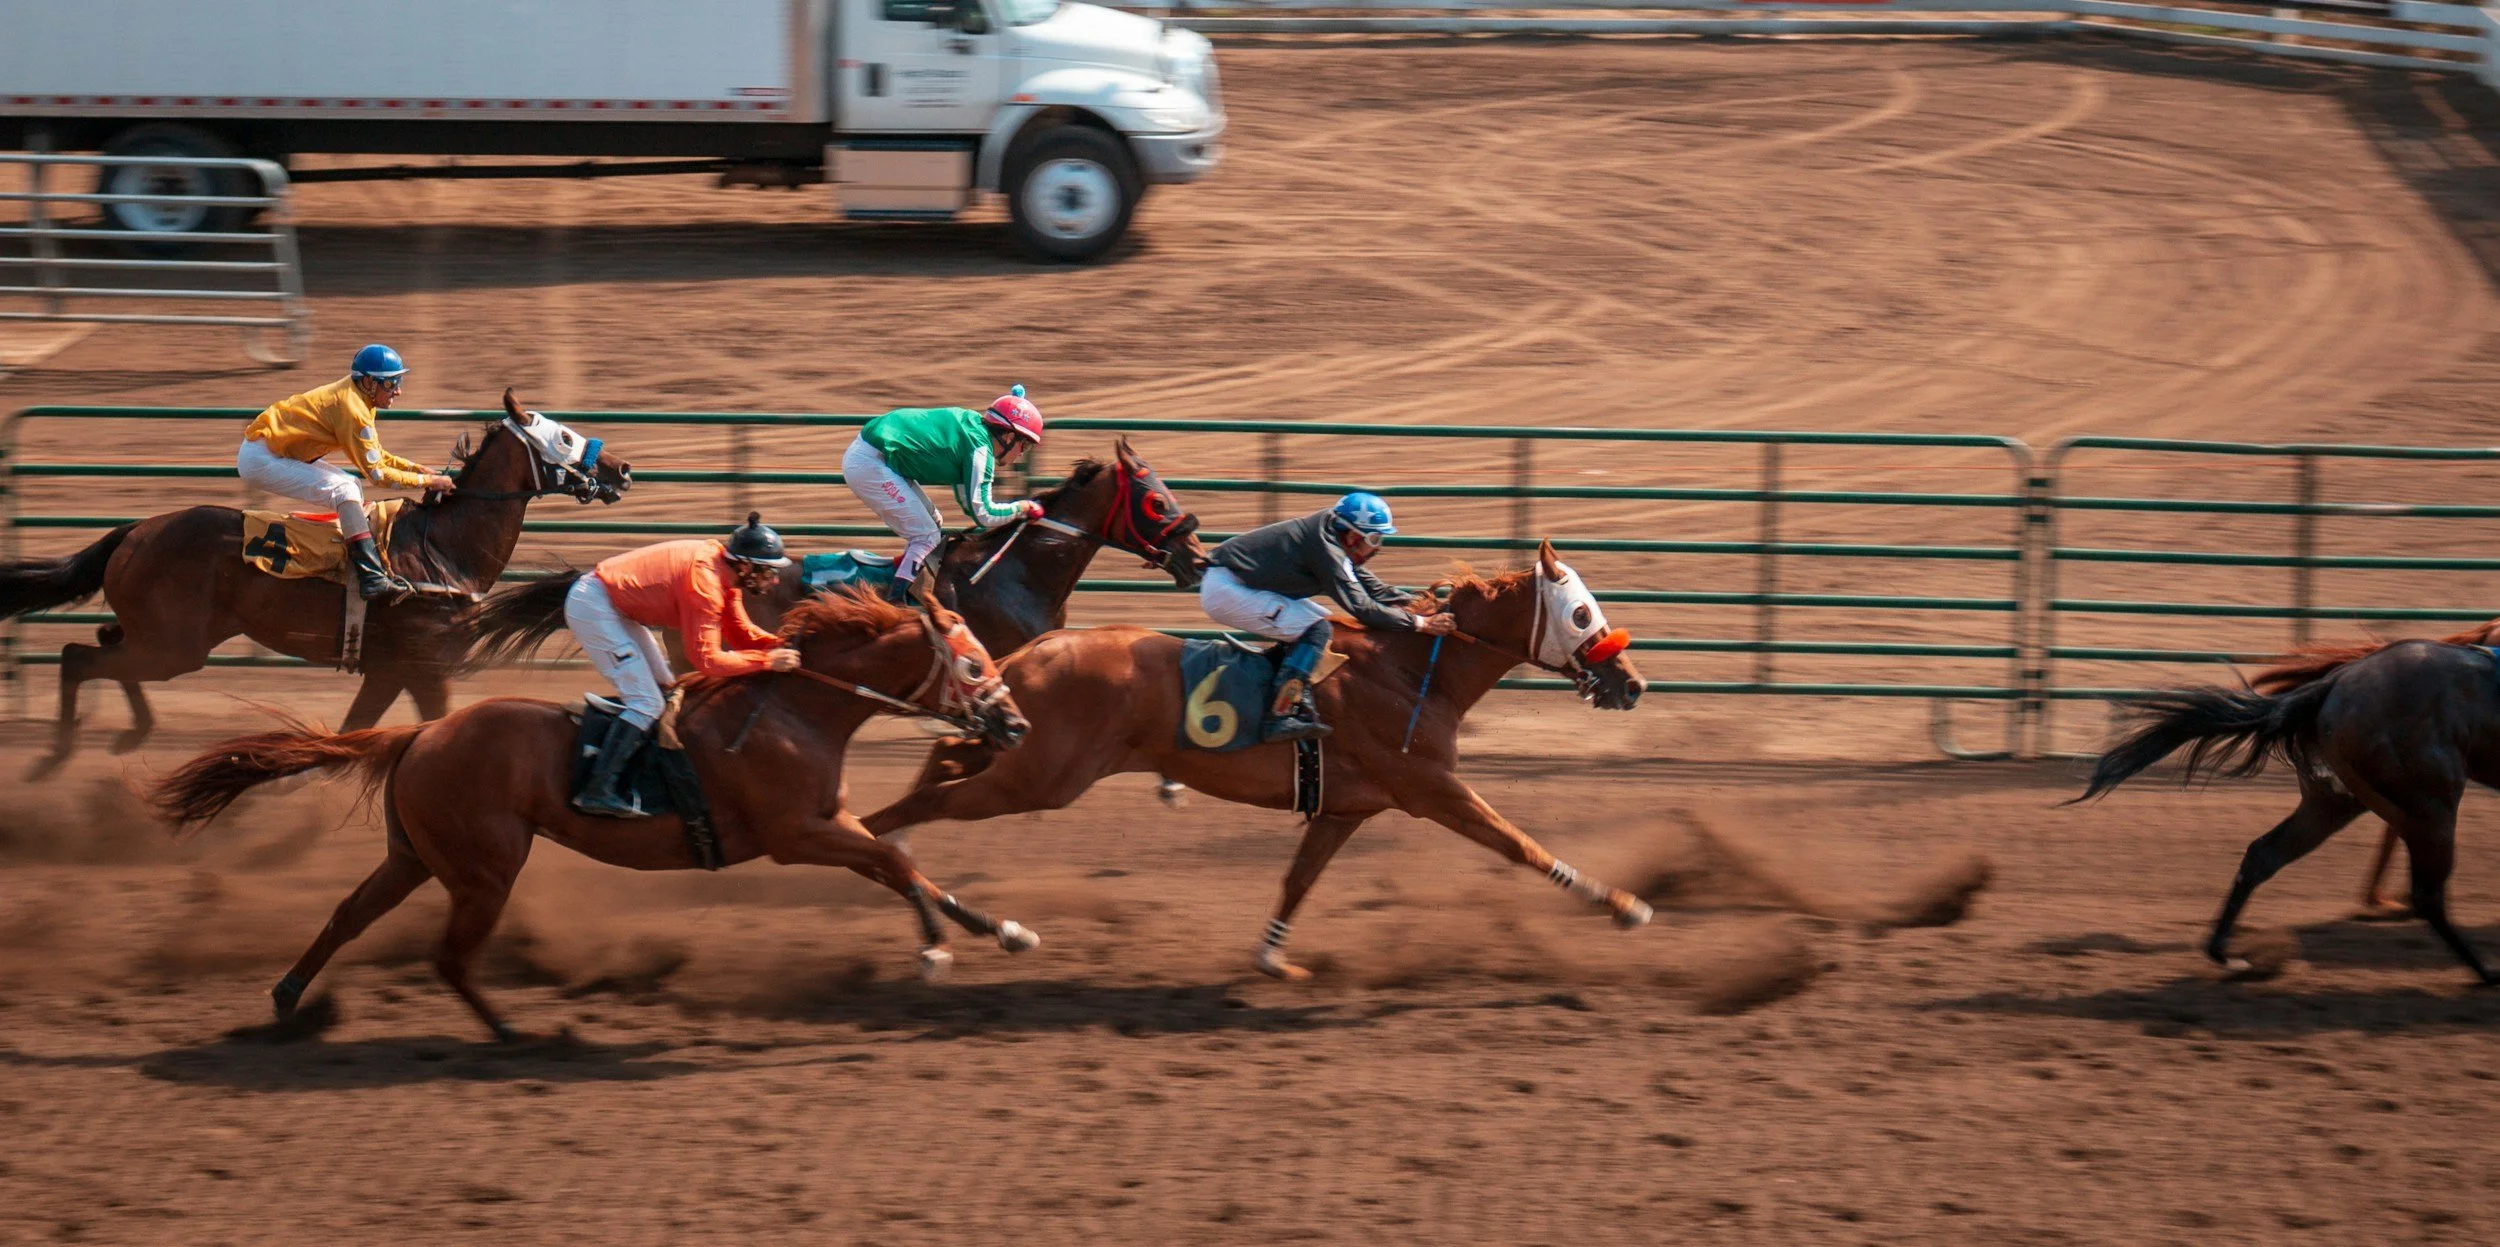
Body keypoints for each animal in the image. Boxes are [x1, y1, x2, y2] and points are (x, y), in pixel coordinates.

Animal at [0, 390, 632, 779]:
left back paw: (132, 733)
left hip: (164, 638)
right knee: (77, 655)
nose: (621, 470)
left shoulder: (389, 670)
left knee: (103, 643)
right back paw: (57, 756)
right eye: (566, 437)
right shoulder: (427, 667)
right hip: (173, 646)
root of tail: (136, 529)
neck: (443, 552)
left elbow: (353, 731)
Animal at [148, 587, 1033, 1042]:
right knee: (448, 955)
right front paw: (944, 949)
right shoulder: (796, 835)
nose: (1017, 724)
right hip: (484, 870)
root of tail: (421, 732)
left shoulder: (828, 823)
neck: (796, 710)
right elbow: (897, 862)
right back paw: (514, 1032)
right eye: (973, 664)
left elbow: (902, 865)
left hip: (415, 855)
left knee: (350, 914)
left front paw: (996, 930)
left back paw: (290, 996)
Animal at [862, 541, 1653, 980]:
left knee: (945, 753)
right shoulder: (1430, 787)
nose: (1632, 683)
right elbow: (1517, 843)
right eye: (1582, 613)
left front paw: (1272, 958)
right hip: (1042, 777)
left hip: (1026, 753)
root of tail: (1032, 648)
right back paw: (889, 855)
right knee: (928, 796)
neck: (1410, 670)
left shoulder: (1344, 807)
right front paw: (1622, 904)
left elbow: (1298, 881)